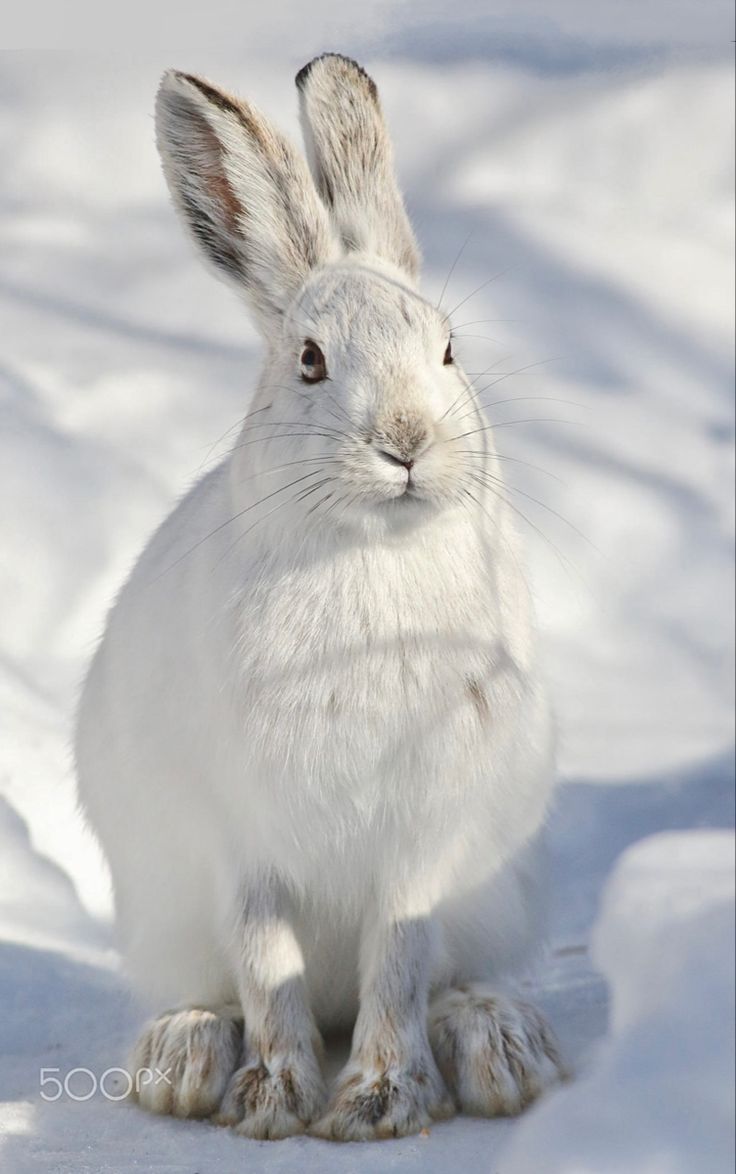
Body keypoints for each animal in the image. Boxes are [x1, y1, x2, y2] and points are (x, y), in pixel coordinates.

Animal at [76, 52, 563, 1136]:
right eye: (309, 361)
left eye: (449, 350)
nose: (408, 439)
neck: (372, 549)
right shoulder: (243, 840)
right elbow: (269, 966)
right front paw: (276, 1100)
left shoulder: (423, 838)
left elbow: (400, 960)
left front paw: (378, 1103)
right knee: (221, 989)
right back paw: (182, 1057)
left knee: (448, 978)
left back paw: (498, 1045)